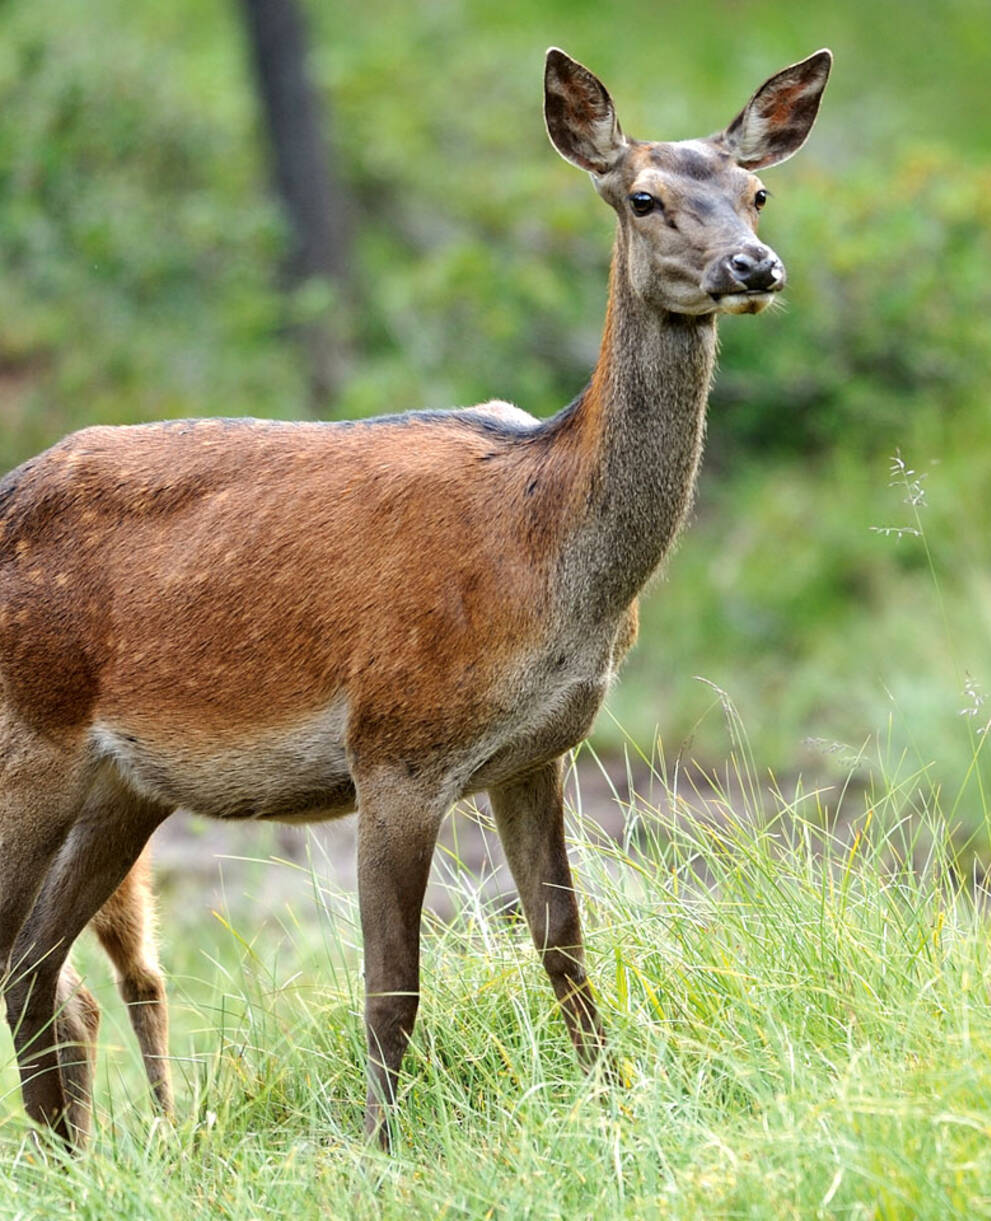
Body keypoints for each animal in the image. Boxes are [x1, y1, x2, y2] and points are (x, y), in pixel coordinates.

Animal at [0, 47, 829, 1147]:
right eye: (642, 197)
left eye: (755, 191)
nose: (753, 267)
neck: (543, 555)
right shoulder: (396, 744)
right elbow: (392, 982)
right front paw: (378, 1148)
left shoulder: (536, 754)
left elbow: (564, 945)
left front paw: (619, 1107)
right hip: (30, 740)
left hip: (120, 786)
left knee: (38, 967)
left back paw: (71, 1158)